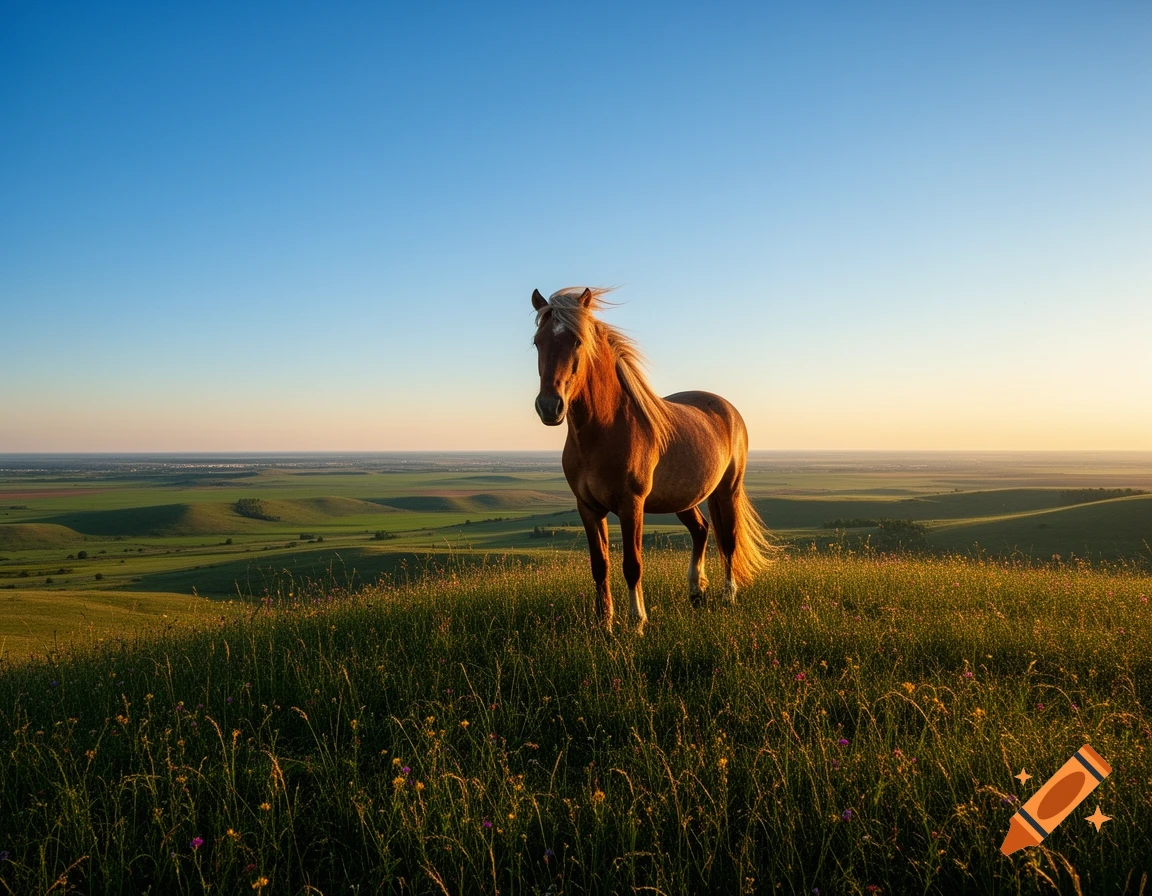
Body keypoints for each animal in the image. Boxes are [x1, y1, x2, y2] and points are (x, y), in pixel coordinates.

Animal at [531, 286, 772, 633]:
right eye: (538, 342)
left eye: (577, 341)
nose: (550, 407)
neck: (603, 429)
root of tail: (726, 409)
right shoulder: (588, 507)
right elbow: (599, 565)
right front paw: (605, 624)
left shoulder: (631, 505)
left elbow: (632, 564)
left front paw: (637, 622)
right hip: (683, 498)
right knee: (701, 530)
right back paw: (696, 591)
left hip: (728, 490)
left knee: (729, 540)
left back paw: (728, 596)